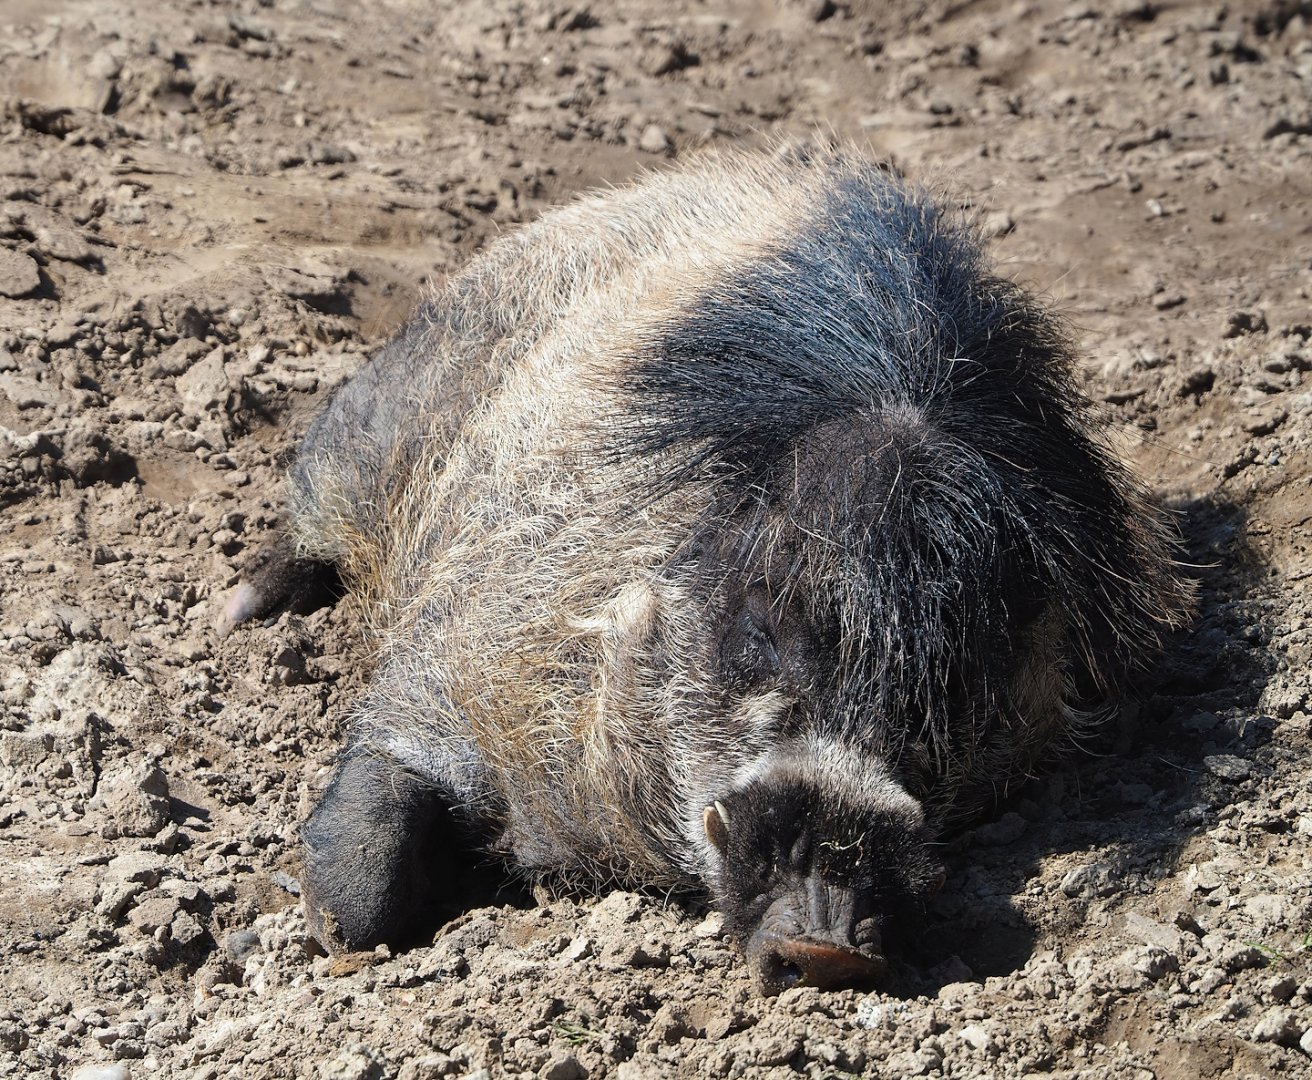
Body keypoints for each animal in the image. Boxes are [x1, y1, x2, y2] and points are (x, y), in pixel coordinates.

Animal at [229, 144, 1192, 994]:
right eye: (761, 625)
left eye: (955, 684)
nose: (829, 948)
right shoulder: (457, 656)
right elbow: (366, 885)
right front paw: (303, 938)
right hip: (361, 435)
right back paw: (241, 609)